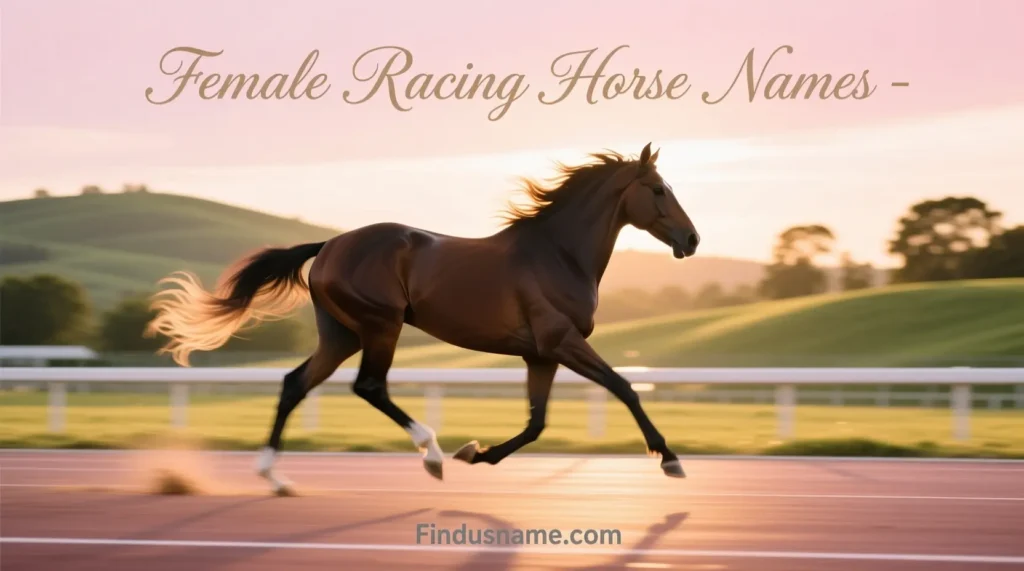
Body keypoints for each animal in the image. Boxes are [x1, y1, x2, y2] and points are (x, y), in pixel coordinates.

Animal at [145, 142, 700, 495]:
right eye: (657, 188)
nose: (692, 239)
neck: (558, 254)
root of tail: (329, 246)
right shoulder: (562, 340)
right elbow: (624, 387)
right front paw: (671, 459)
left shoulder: (539, 354)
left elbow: (537, 422)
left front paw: (476, 452)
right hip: (380, 326)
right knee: (369, 386)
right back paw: (430, 453)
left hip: (341, 334)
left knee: (294, 383)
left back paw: (275, 478)